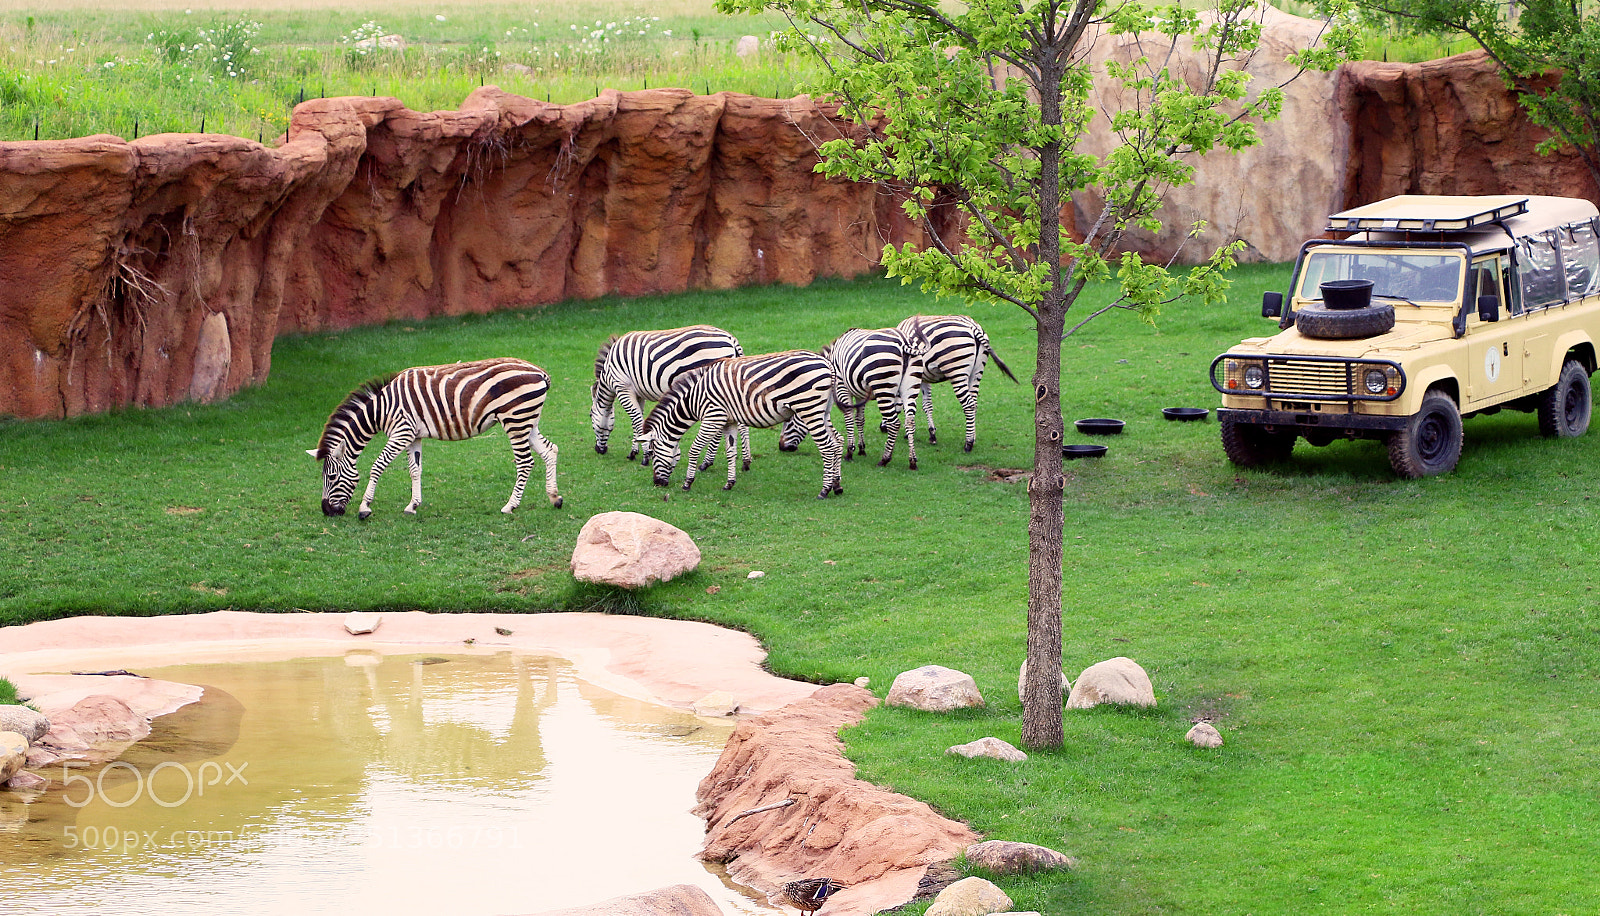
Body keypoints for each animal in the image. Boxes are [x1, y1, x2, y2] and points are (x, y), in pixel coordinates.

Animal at [307, 358, 561, 519]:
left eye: (331, 477)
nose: (326, 511)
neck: (382, 410)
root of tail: (539, 371)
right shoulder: (412, 436)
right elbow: (415, 470)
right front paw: (412, 505)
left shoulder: (401, 432)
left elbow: (377, 466)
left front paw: (364, 508)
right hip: (528, 420)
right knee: (550, 450)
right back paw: (554, 498)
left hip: (515, 419)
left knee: (525, 462)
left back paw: (510, 506)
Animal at [590, 325, 751, 470]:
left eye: (590, 415)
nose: (599, 450)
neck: (608, 372)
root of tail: (730, 338)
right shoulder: (638, 394)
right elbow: (638, 421)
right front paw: (636, 451)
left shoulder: (623, 388)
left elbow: (636, 420)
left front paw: (645, 456)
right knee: (740, 422)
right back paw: (746, 461)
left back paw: (707, 462)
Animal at [635, 351, 844, 498]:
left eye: (653, 452)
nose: (657, 483)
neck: (693, 399)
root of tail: (827, 364)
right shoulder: (729, 421)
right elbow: (731, 451)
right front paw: (729, 484)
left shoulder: (712, 416)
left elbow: (694, 449)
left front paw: (688, 483)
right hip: (822, 411)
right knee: (837, 442)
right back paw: (837, 485)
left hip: (809, 409)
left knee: (827, 447)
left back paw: (824, 491)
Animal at [778, 327, 927, 469]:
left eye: (789, 420)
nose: (781, 447)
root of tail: (903, 341)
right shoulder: (861, 395)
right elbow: (860, 419)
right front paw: (862, 449)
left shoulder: (841, 387)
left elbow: (848, 418)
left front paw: (850, 451)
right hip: (911, 387)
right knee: (910, 421)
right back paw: (912, 461)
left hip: (883, 387)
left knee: (894, 423)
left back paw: (885, 459)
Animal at [894, 315, 1018, 451]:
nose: (883, 429)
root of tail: (973, 326)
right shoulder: (923, 377)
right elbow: (927, 404)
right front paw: (932, 434)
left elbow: (910, 404)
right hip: (976, 372)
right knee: (974, 403)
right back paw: (973, 438)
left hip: (957, 372)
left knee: (968, 405)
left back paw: (968, 444)